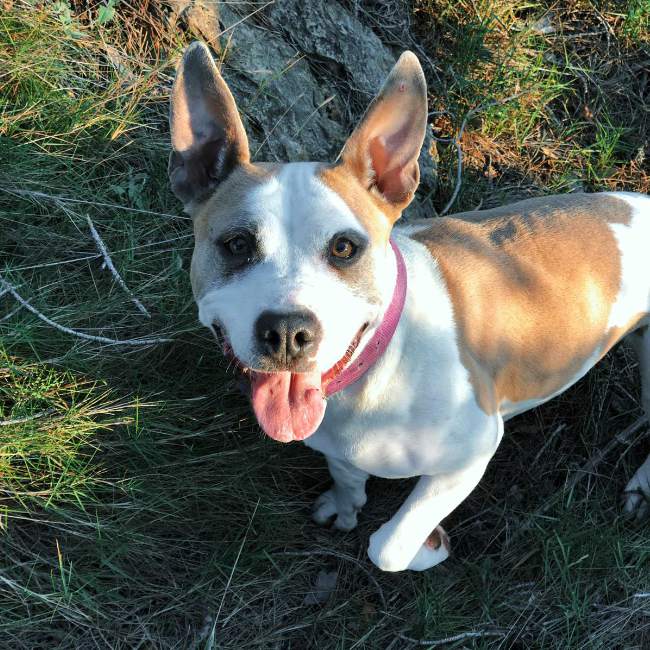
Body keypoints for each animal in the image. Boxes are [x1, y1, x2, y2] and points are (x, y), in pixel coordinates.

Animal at [168, 42, 650, 572]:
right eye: (236, 245)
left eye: (344, 248)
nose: (289, 332)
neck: (380, 365)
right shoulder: (335, 442)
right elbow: (346, 474)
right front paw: (345, 505)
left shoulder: (473, 452)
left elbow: (388, 547)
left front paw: (429, 545)